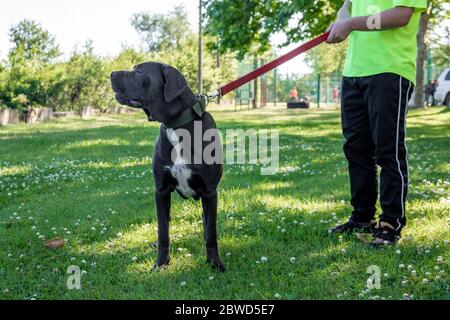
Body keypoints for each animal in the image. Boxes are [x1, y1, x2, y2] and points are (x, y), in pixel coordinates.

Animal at [109, 61, 225, 272]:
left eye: (139, 71)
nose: (111, 73)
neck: (176, 125)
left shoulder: (210, 191)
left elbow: (212, 233)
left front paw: (214, 262)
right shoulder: (161, 190)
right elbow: (163, 231)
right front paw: (161, 263)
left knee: (207, 222)